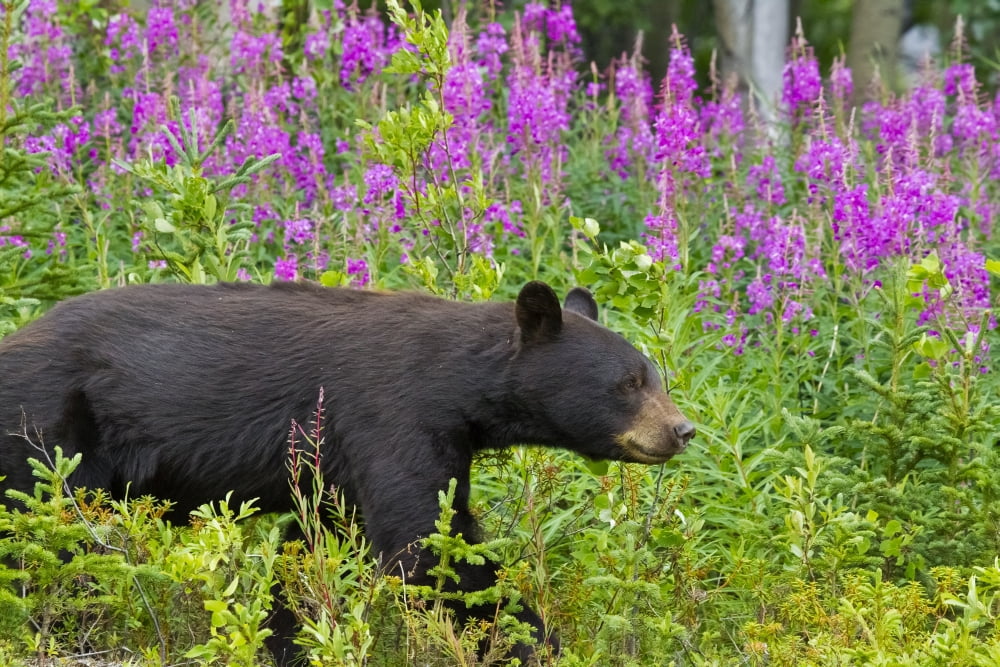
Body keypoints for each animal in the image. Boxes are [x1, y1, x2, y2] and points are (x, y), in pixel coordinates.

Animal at [0, 280, 695, 664]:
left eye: (653, 377)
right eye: (629, 383)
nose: (682, 430)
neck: (459, 384)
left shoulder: (341, 464)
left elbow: (318, 546)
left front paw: (287, 639)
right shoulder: (390, 415)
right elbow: (426, 547)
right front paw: (531, 642)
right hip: (46, 434)